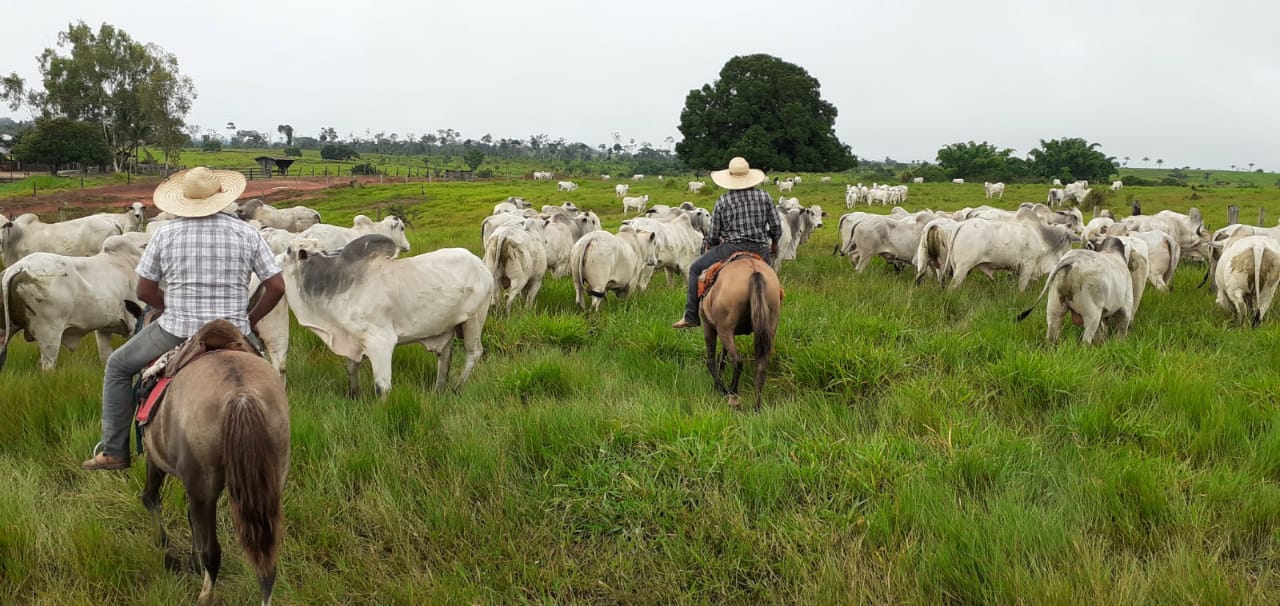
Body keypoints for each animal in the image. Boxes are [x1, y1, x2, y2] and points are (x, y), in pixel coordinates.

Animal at [140, 319, 290, 602]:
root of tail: (241, 395)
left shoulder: (155, 459)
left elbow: (151, 499)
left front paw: (166, 551)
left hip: (203, 487)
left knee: (213, 551)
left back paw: (204, 596)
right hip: (270, 481)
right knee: (268, 562)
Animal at [282, 235, 491, 397]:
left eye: (288, 250)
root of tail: (480, 264)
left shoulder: (380, 342)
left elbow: (382, 387)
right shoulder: (354, 340)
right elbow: (351, 368)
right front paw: (354, 394)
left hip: (474, 320)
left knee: (473, 353)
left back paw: (457, 387)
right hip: (447, 327)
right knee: (445, 359)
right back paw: (438, 391)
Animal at [701, 252, 778, 407]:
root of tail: (754, 272)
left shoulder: (708, 325)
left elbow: (711, 360)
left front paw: (719, 387)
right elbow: (722, 355)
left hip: (724, 328)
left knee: (737, 360)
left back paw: (732, 395)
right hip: (770, 326)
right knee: (761, 366)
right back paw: (756, 406)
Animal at [952, 207, 1080, 290]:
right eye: (1071, 240)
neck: (1043, 236)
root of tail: (961, 225)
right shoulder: (1028, 265)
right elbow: (1021, 288)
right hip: (962, 268)